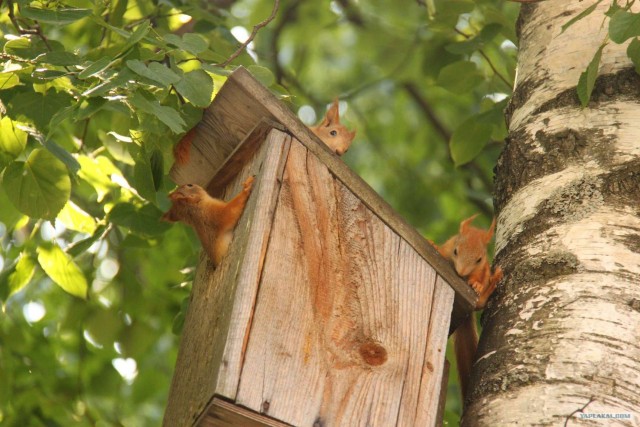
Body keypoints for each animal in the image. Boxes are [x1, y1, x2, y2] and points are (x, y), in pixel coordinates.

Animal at [432, 214, 502, 404]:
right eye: (456, 250)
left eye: (479, 259)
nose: (462, 273)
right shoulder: (448, 247)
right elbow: (441, 250)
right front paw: (433, 245)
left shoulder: (482, 270)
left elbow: (479, 278)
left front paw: (476, 285)